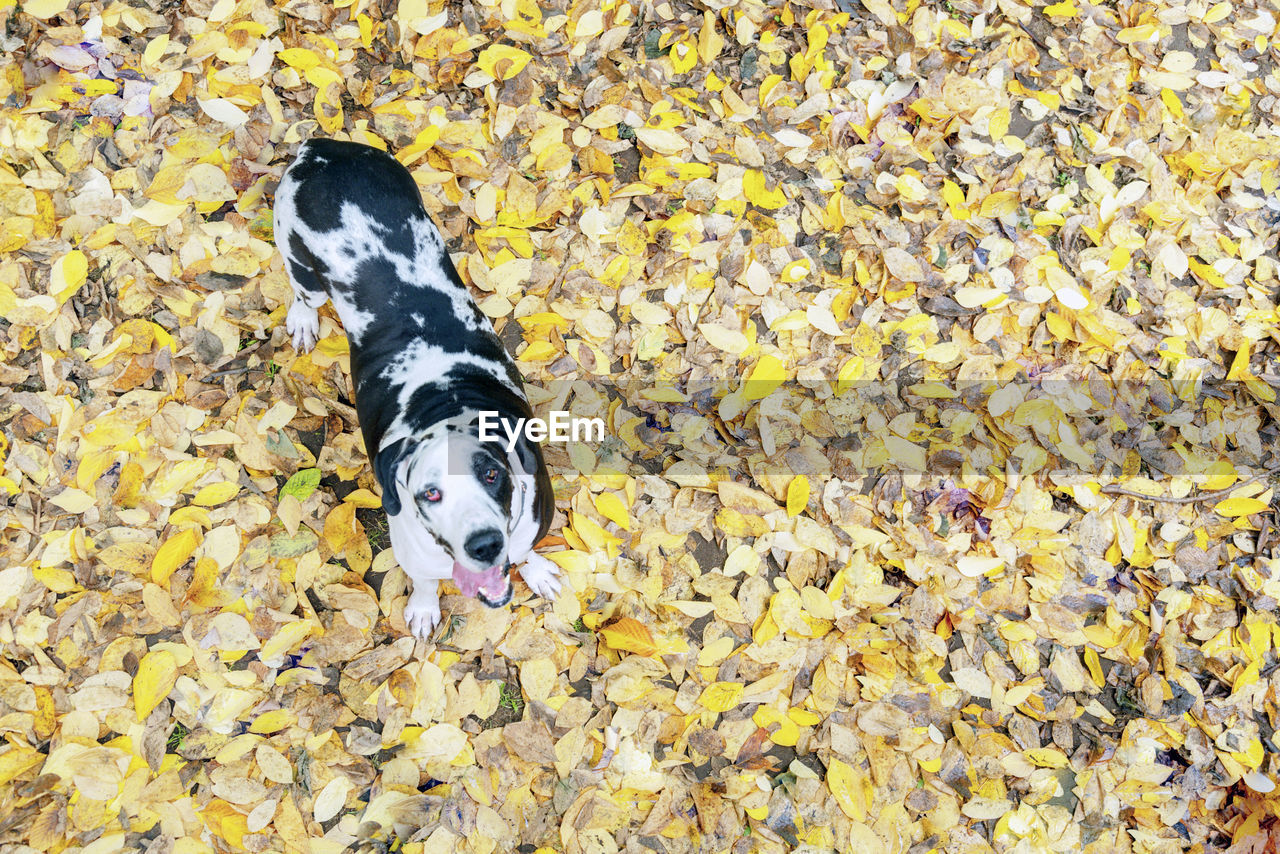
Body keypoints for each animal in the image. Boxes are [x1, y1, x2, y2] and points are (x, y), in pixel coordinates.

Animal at [272, 138, 558, 635]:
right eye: (430, 493)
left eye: (492, 474)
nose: (484, 544)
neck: (448, 403)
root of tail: (322, 149)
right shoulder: (414, 554)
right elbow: (424, 583)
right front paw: (425, 610)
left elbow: (525, 552)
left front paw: (536, 570)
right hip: (299, 260)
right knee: (304, 294)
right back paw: (304, 318)